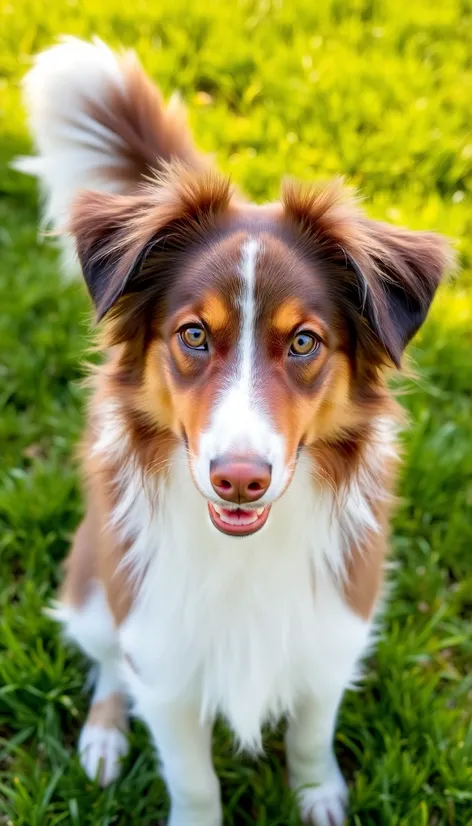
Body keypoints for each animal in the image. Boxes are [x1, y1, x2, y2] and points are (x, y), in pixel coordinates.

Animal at [17, 37, 454, 824]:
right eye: (194, 334)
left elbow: (311, 733)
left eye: (305, 342)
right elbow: (193, 775)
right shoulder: (159, 653)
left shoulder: (333, 630)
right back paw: (103, 737)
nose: (240, 480)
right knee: (106, 662)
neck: (244, 548)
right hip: (98, 582)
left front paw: (318, 796)